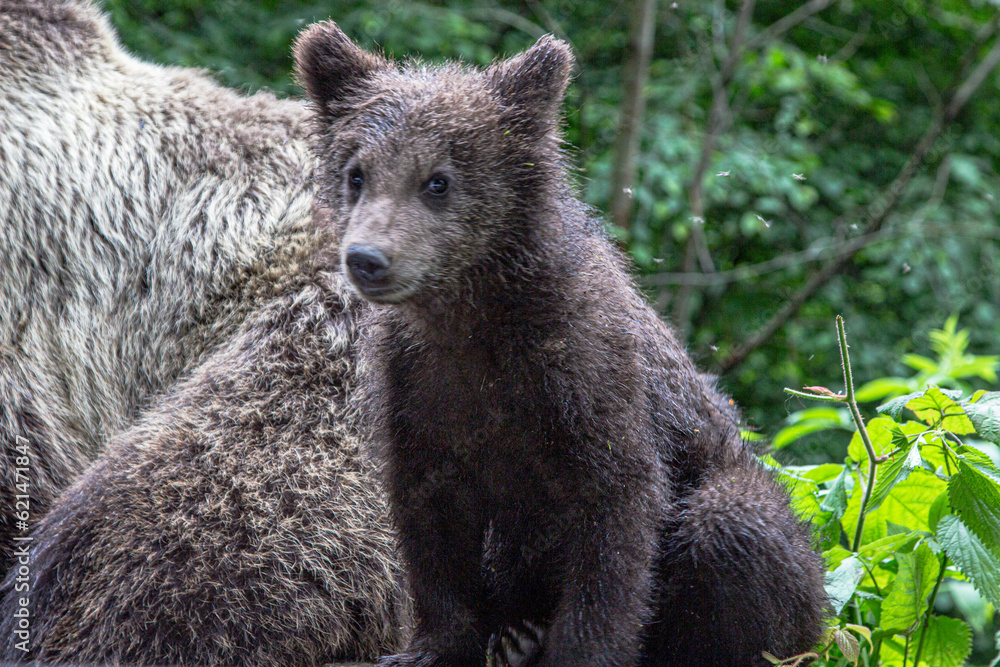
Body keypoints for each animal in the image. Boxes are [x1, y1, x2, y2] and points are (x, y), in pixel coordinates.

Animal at [294, 23, 828, 667]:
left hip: (770, 538)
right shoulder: (417, 390)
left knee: (735, 524)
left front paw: (581, 649)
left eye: (437, 181)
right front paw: (432, 645)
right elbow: (431, 522)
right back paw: (516, 634)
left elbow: (613, 522)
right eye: (357, 173)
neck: (475, 317)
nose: (368, 259)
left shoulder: (586, 375)